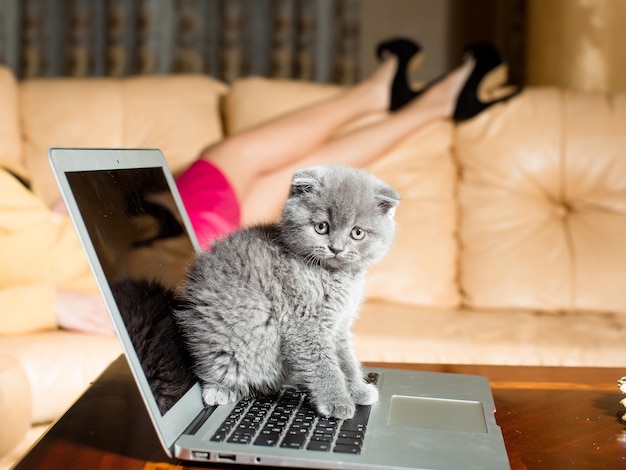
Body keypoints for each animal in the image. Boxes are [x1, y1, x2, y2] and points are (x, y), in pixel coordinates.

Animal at [174, 165, 400, 418]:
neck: (335, 276)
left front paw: (357, 389)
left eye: (357, 233)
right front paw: (337, 401)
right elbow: (323, 365)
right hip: (227, 345)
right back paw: (219, 390)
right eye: (321, 227)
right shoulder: (303, 324)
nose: (336, 249)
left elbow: (346, 360)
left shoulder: (339, 325)